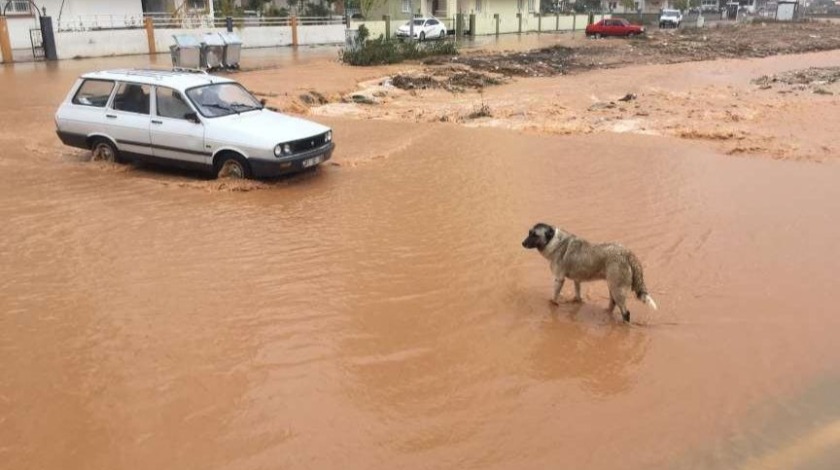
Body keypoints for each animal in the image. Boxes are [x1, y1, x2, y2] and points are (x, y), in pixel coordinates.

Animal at [524, 223, 656, 320]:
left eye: (535, 235)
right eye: (529, 233)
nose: (522, 243)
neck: (556, 242)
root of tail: (628, 253)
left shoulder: (559, 279)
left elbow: (554, 295)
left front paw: (552, 303)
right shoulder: (576, 280)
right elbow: (577, 293)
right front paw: (576, 301)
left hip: (618, 290)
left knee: (625, 313)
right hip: (612, 286)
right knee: (612, 303)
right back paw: (606, 313)